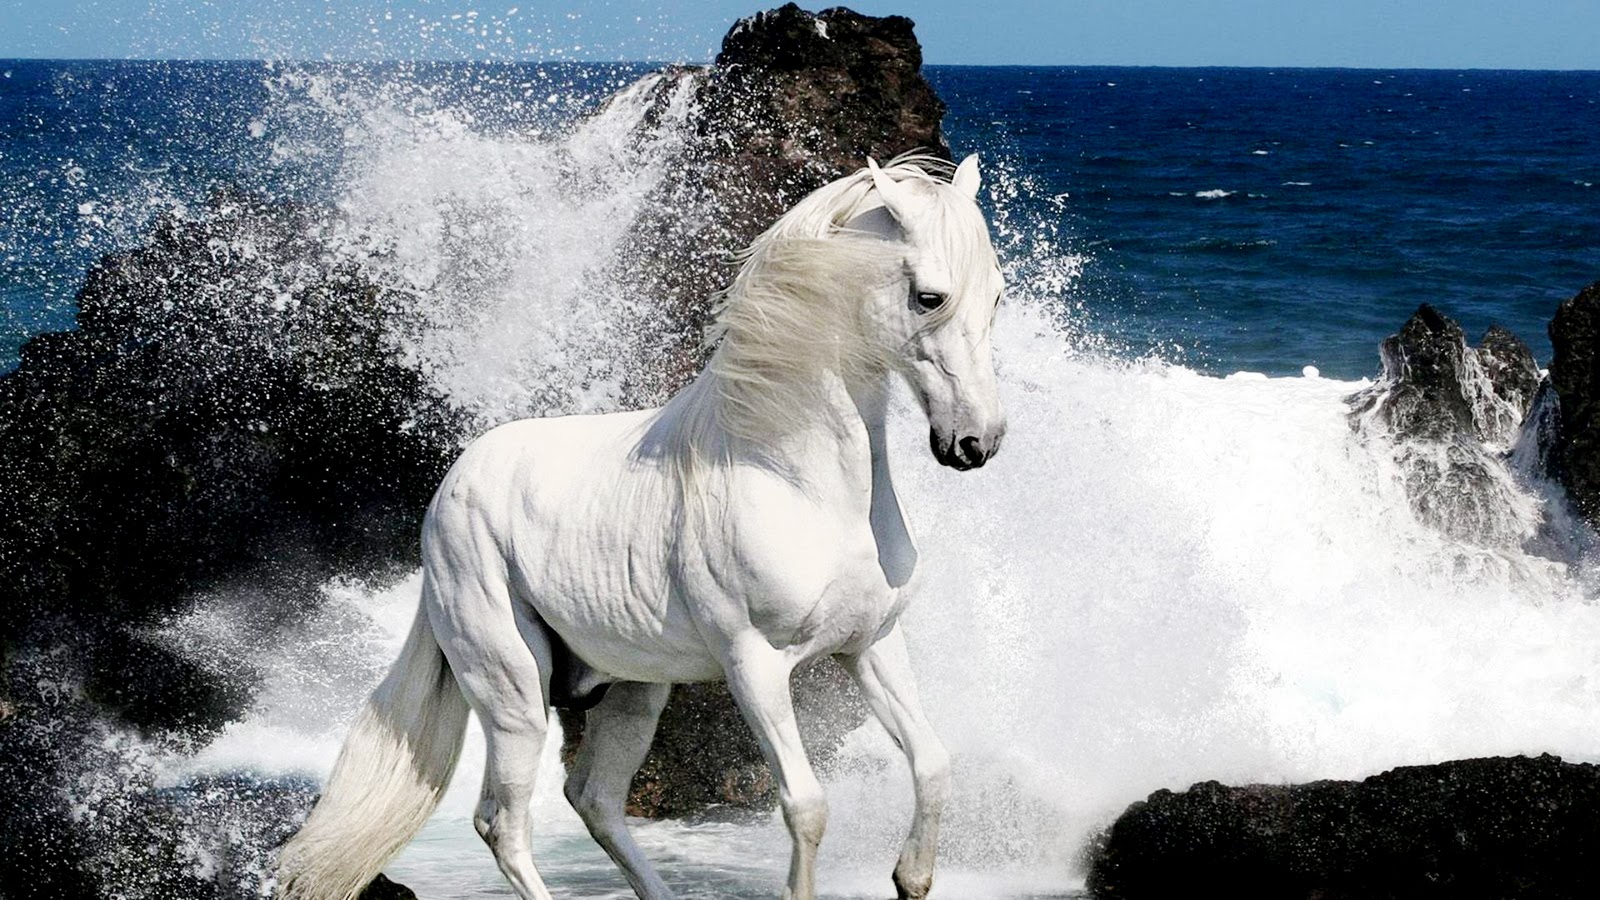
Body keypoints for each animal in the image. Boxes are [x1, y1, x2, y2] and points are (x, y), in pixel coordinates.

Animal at [276, 152, 1007, 900]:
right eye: (930, 297)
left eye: (998, 296)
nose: (974, 443)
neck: (794, 477)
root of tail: (449, 490)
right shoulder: (754, 666)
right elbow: (806, 807)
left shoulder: (870, 645)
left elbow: (933, 764)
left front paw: (910, 877)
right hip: (513, 693)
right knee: (502, 824)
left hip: (633, 690)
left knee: (593, 799)